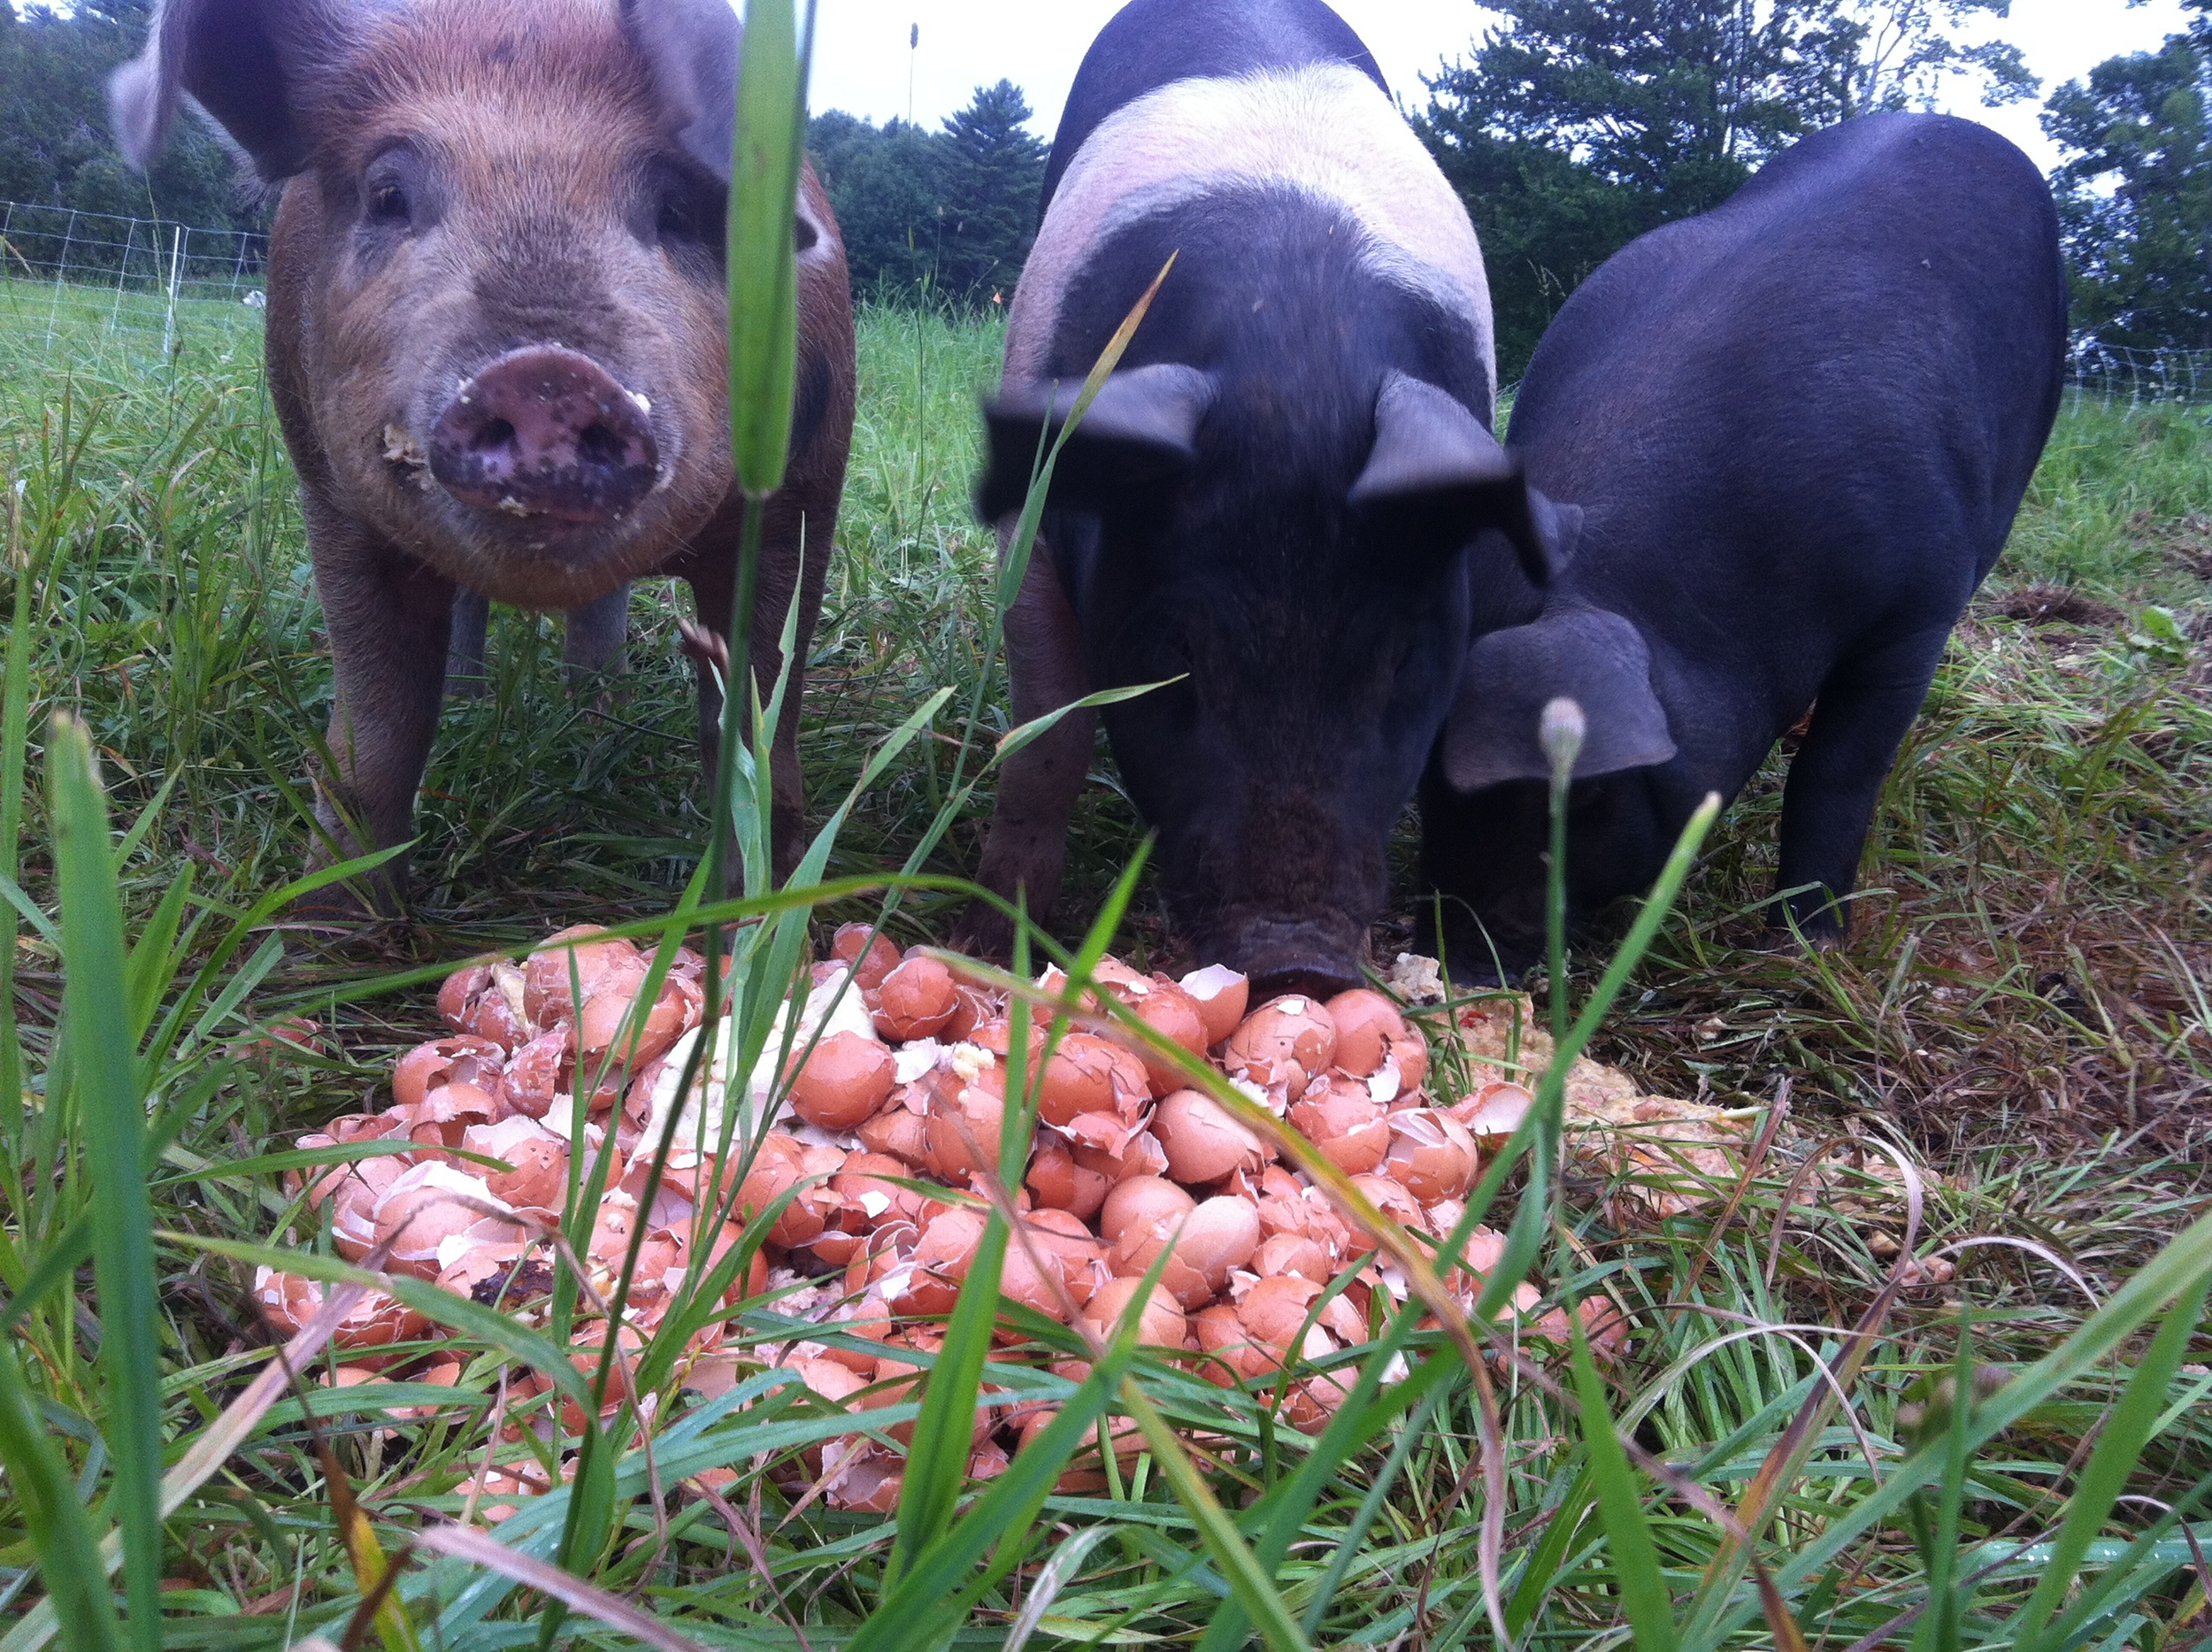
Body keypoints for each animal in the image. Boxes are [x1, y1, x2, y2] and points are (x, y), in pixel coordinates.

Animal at [110, 0, 854, 911]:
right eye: (387, 193)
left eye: (678, 208)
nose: (547, 375)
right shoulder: (334, 503)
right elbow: (379, 726)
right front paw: (327, 928)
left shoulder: (800, 501)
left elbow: (756, 711)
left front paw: (756, 906)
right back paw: (476, 710)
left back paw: (592, 715)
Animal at [960, 0, 1566, 995]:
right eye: (1177, 653)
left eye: (1402, 655)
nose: (1298, 962)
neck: (1296, 357)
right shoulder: (1035, 527)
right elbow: (1047, 737)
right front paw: (990, 942)